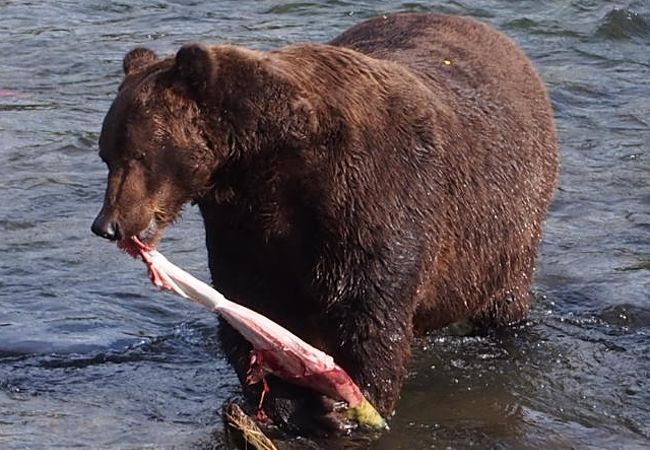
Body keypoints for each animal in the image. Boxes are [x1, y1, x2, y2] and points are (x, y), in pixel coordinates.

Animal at [91, 12, 556, 436]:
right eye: (107, 155)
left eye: (138, 155)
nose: (107, 225)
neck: (265, 164)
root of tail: (505, 44)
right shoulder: (244, 226)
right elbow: (252, 303)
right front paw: (289, 401)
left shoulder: (371, 193)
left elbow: (371, 309)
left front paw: (350, 407)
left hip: (510, 217)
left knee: (505, 298)